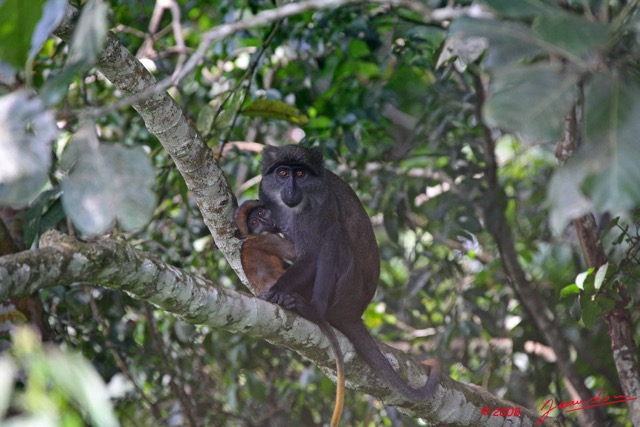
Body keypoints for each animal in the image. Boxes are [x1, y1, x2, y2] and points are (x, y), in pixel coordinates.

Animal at [234, 201, 344, 427]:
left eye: (261, 213)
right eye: (255, 222)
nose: (265, 221)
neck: (250, 238)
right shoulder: (268, 238)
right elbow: (300, 255)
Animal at [255, 145, 440, 406]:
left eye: (300, 174)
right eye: (282, 173)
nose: (290, 189)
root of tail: (354, 313)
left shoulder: (321, 209)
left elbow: (311, 255)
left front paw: (276, 291)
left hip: (345, 291)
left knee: (335, 234)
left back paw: (313, 310)